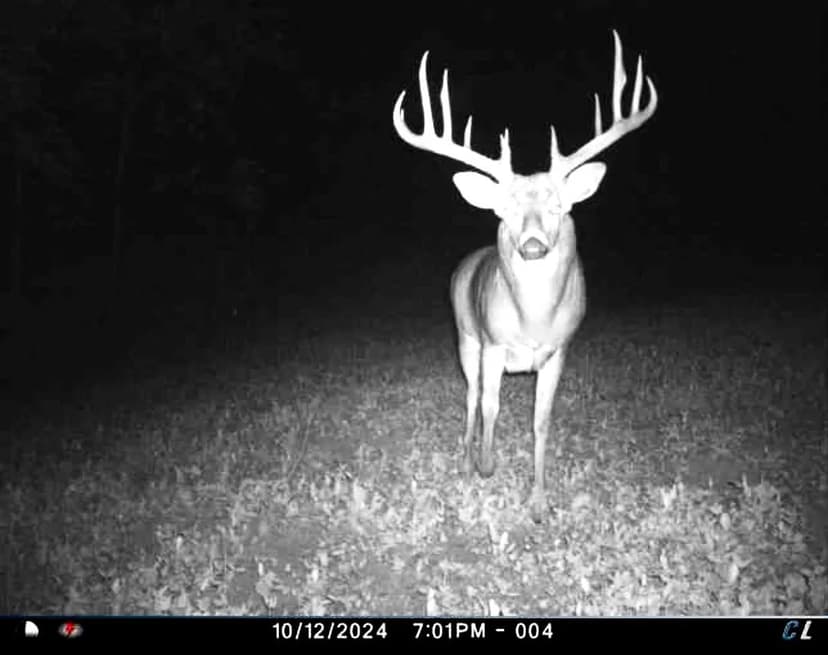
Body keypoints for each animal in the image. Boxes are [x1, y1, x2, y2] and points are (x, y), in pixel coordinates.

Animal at [392, 30, 658, 522]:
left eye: (558, 206)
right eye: (507, 210)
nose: (532, 244)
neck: (533, 321)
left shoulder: (558, 352)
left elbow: (541, 421)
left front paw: (538, 501)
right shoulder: (493, 345)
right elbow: (490, 406)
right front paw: (486, 464)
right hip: (465, 335)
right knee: (471, 396)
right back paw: (466, 457)